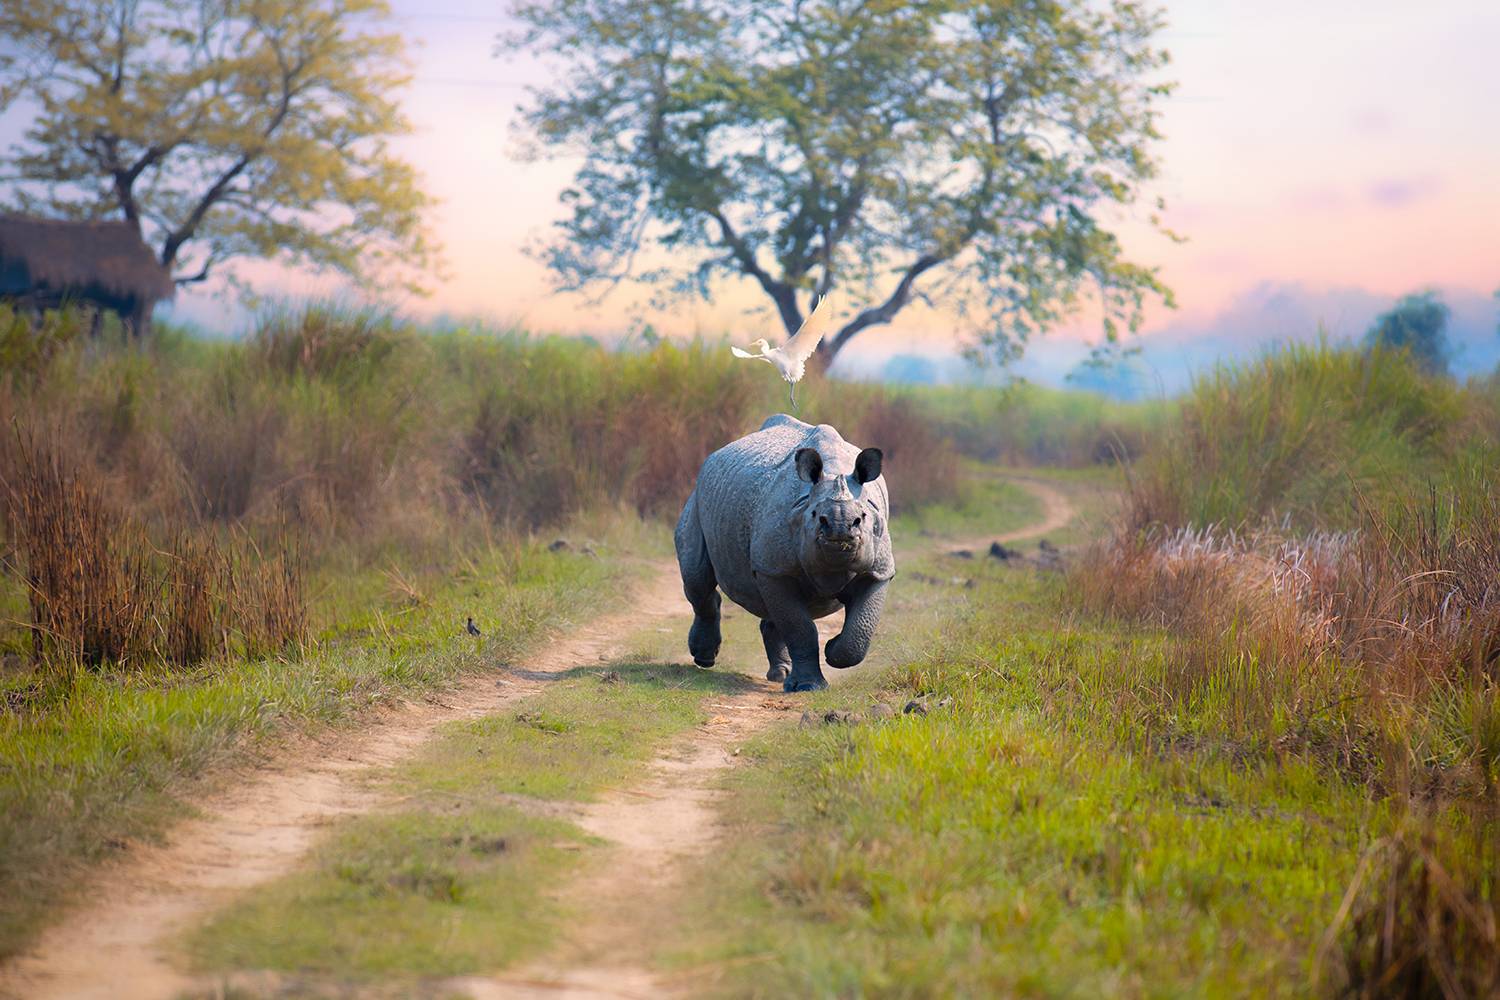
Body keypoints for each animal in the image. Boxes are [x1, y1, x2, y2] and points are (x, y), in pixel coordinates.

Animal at [674, 414, 895, 692]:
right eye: (816, 515)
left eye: (862, 517)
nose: (839, 528)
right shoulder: (773, 569)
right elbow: (800, 627)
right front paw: (809, 686)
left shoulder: (878, 571)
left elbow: (860, 630)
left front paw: (832, 649)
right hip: (699, 497)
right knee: (697, 576)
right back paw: (704, 659)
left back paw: (780, 674)